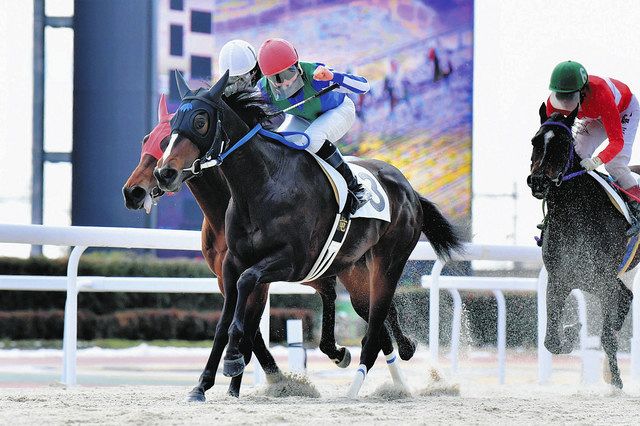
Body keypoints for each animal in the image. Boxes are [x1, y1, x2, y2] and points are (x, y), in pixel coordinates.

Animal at [154, 71, 462, 397]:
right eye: (173, 125)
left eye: (200, 120)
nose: (164, 173)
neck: (263, 185)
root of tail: (410, 189)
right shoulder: (231, 262)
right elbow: (224, 321)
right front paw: (202, 384)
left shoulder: (292, 262)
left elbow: (247, 283)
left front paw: (234, 359)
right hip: (353, 266)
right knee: (375, 317)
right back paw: (399, 360)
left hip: (390, 262)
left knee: (375, 327)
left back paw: (355, 389)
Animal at [528, 103, 634, 388]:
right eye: (535, 142)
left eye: (564, 144)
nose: (539, 181)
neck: (576, 214)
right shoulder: (561, 278)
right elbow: (551, 341)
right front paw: (571, 331)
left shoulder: (604, 280)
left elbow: (607, 335)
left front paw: (616, 382)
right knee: (626, 297)